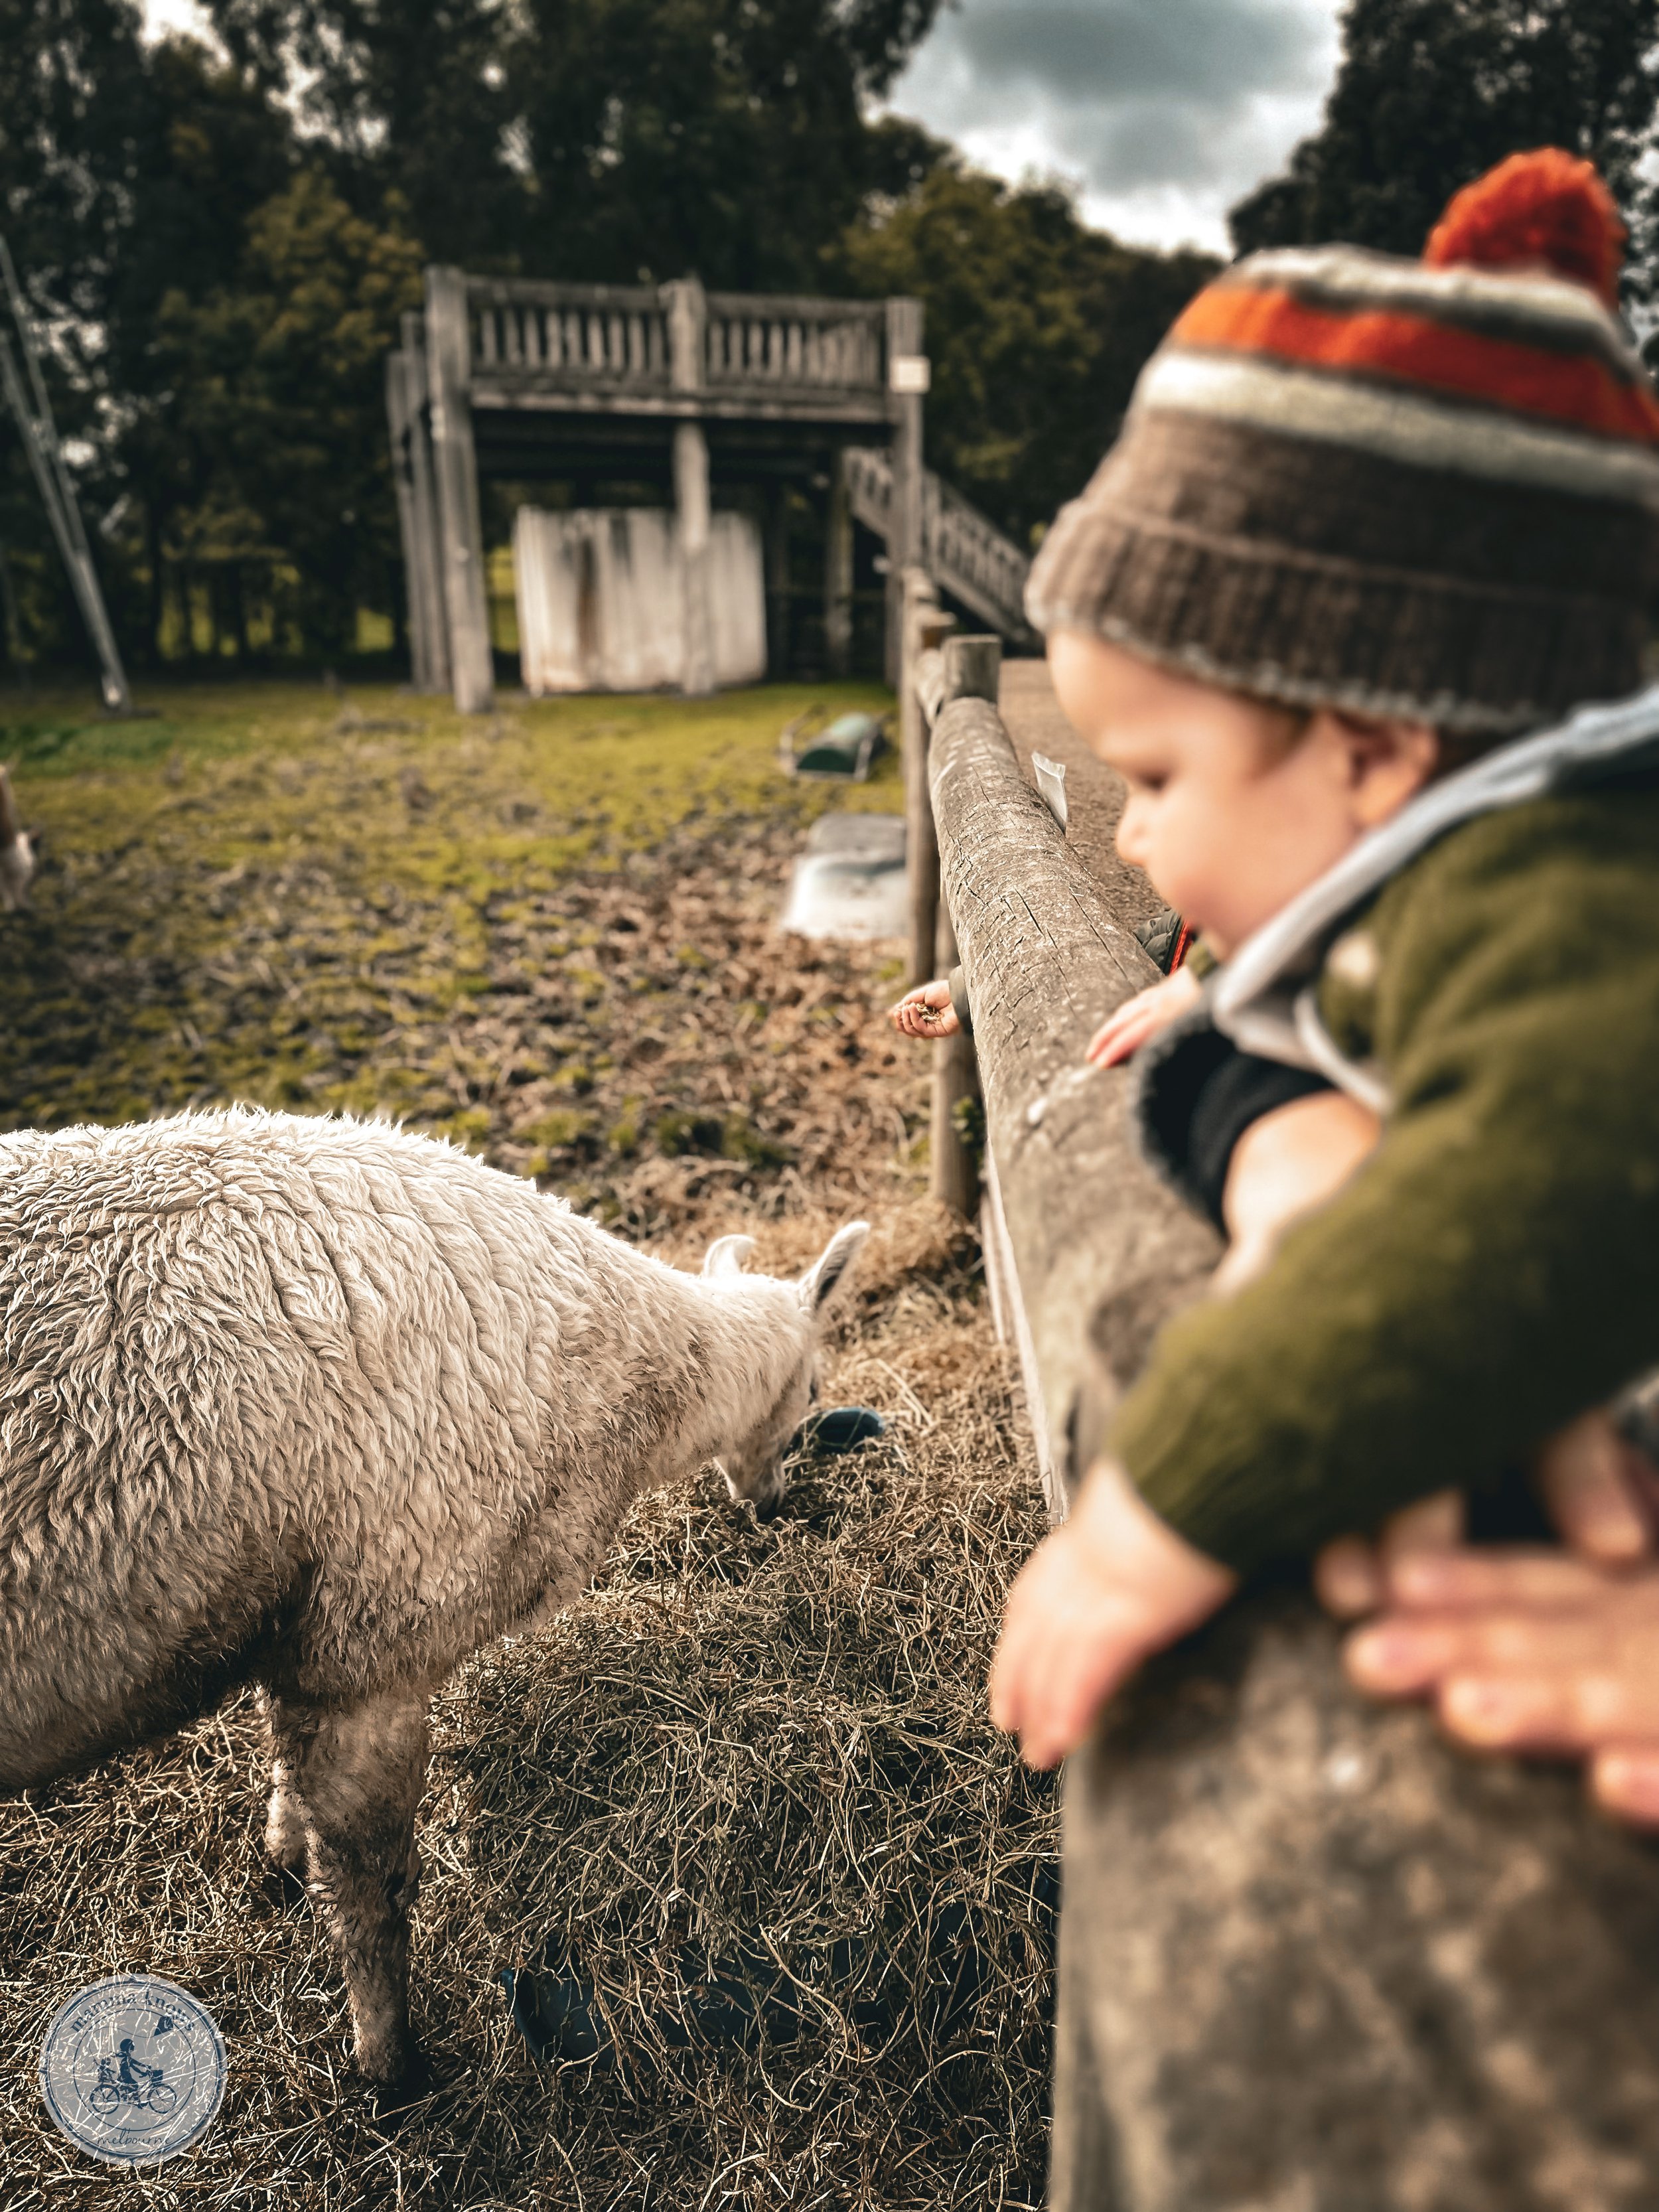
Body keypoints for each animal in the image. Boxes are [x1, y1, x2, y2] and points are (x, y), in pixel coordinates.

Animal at [0, 1106, 863, 2088]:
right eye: (815, 1389)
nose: (771, 1504)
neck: (635, 1381)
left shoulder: (306, 1620)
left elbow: (288, 1775)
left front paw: (281, 1857)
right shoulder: (375, 1644)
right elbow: (374, 1889)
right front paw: (394, 2065)